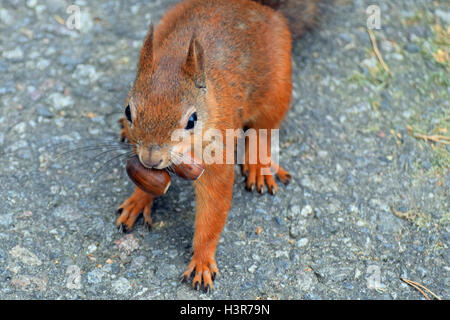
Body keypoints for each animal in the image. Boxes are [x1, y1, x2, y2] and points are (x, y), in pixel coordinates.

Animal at [116, 0, 320, 290]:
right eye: (128, 110)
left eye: (192, 120)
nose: (151, 159)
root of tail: (258, 7)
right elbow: (146, 181)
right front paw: (138, 200)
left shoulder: (217, 158)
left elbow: (212, 211)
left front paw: (202, 261)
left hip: (277, 89)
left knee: (262, 131)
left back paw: (259, 165)